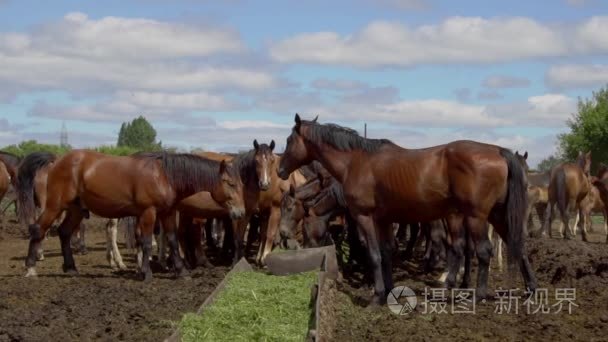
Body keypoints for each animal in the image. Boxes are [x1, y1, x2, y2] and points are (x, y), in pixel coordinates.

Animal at [22, 150, 247, 280]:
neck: (164, 176)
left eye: (241, 183)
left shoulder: (167, 213)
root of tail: (56, 161)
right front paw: (146, 273)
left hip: (76, 209)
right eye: (230, 183)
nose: (241, 212)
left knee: (64, 232)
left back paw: (70, 268)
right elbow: (146, 243)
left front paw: (181, 271)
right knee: (39, 229)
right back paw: (31, 267)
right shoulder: (148, 213)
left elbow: (173, 241)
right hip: (54, 206)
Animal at [278, 114, 536, 304]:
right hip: (497, 215)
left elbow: (373, 254)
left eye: (289, 141)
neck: (356, 161)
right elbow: (386, 252)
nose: (280, 170)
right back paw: (530, 289)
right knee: (517, 244)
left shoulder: (364, 217)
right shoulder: (383, 219)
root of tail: (499, 151)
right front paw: (390, 290)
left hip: (475, 217)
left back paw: (476, 295)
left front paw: (377, 296)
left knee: (482, 251)